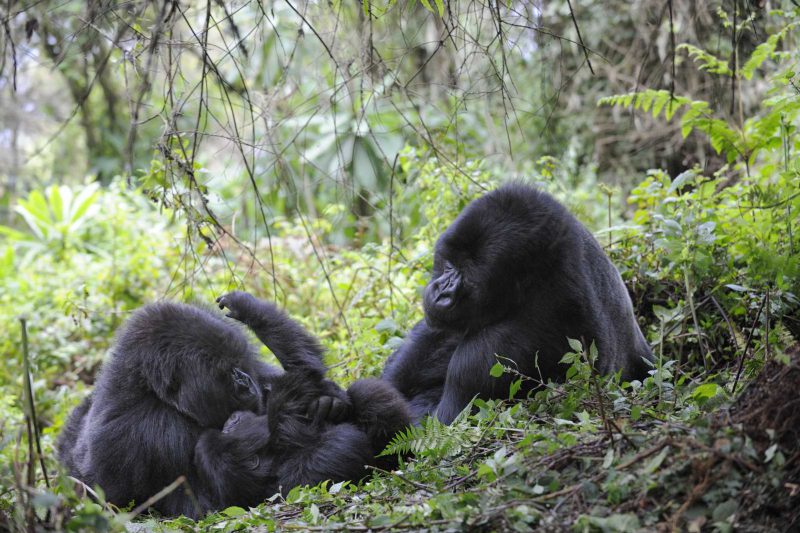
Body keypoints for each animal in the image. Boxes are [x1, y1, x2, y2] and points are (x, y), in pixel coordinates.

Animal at [61, 290, 412, 516]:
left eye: (237, 364)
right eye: (227, 373)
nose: (245, 381)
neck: (148, 390)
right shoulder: (148, 431)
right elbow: (220, 502)